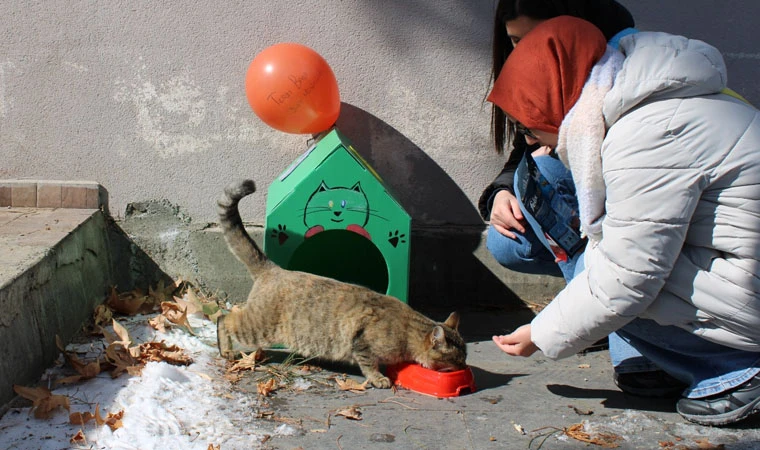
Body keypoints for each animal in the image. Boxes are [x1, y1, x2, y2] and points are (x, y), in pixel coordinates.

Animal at [211, 179, 466, 386]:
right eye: (457, 358)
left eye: (465, 356)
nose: (464, 366)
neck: (408, 329)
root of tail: (273, 268)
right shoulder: (363, 344)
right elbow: (369, 365)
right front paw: (379, 379)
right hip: (258, 327)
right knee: (224, 319)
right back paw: (226, 351)